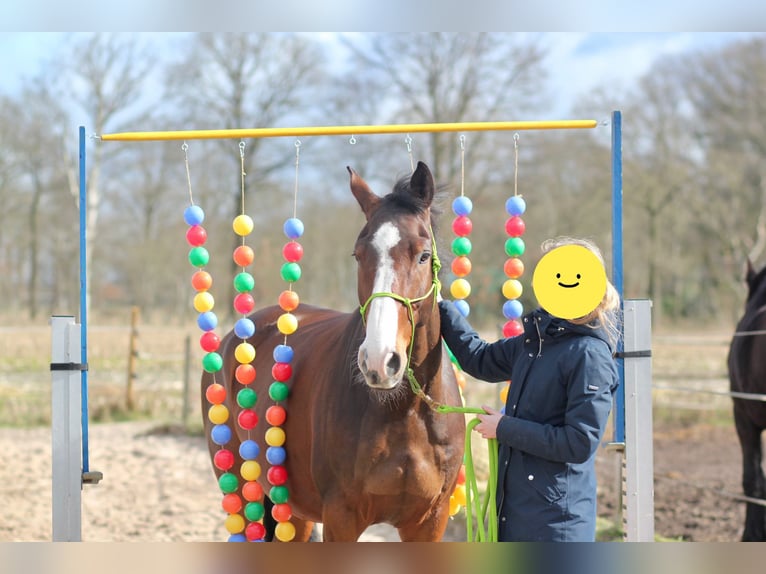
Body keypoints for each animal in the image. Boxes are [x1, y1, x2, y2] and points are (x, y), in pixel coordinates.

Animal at [201, 161, 466, 541]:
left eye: (423, 255)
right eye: (358, 254)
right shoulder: (342, 516)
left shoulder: (429, 521)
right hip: (240, 488)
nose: (380, 361)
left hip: (293, 511)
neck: (404, 411)